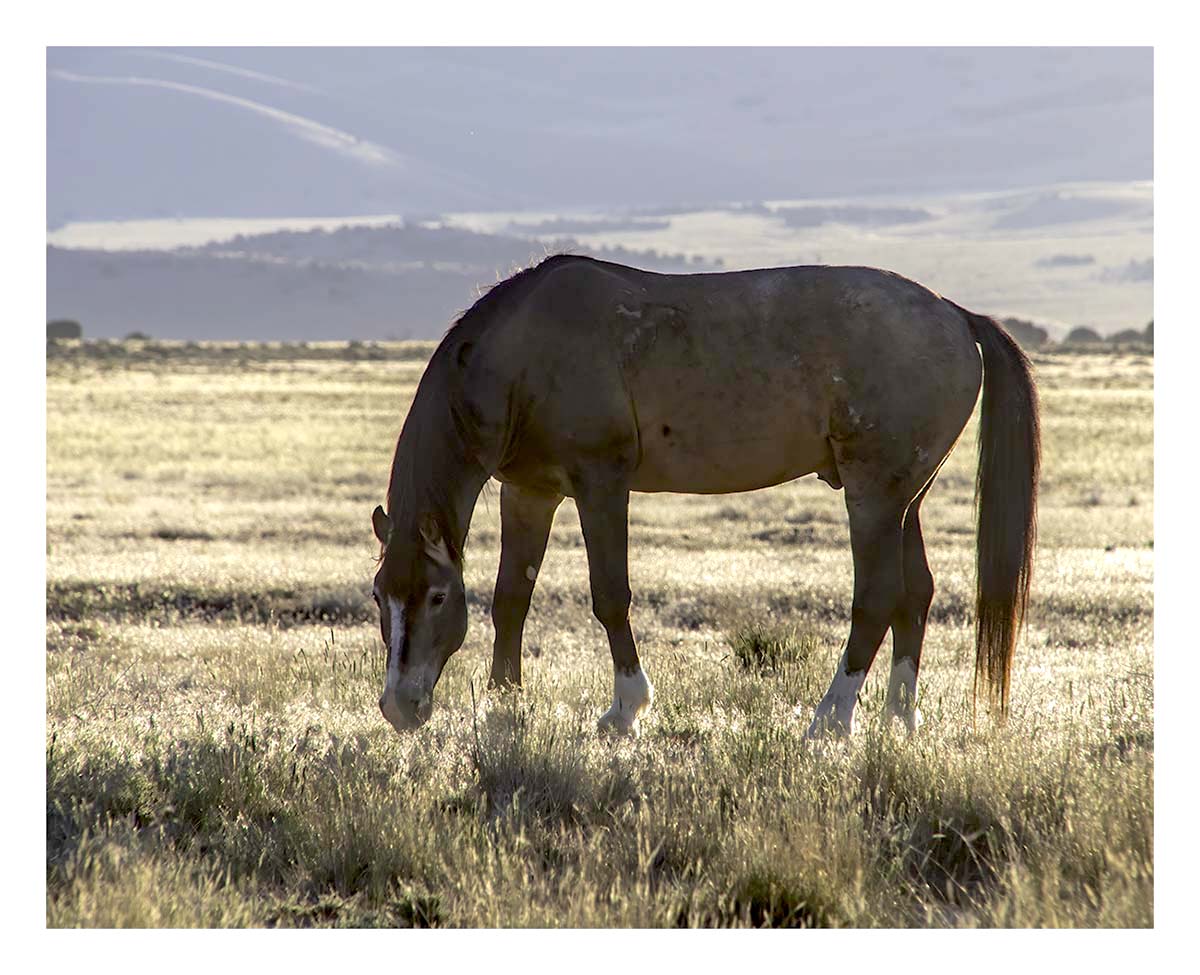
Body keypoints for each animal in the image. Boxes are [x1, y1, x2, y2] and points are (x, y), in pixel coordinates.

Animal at [370, 254, 1039, 736]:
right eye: (379, 597)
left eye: (435, 598)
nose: (401, 706)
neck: (521, 355)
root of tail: (956, 316)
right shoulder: (530, 492)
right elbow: (511, 599)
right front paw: (503, 708)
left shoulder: (601, 483)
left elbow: (610, 596)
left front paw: (626, 709)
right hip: (906, 501)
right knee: (915, 596)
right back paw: (900, 716)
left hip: (873, 497)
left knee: (877, 599)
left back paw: (831, 719)